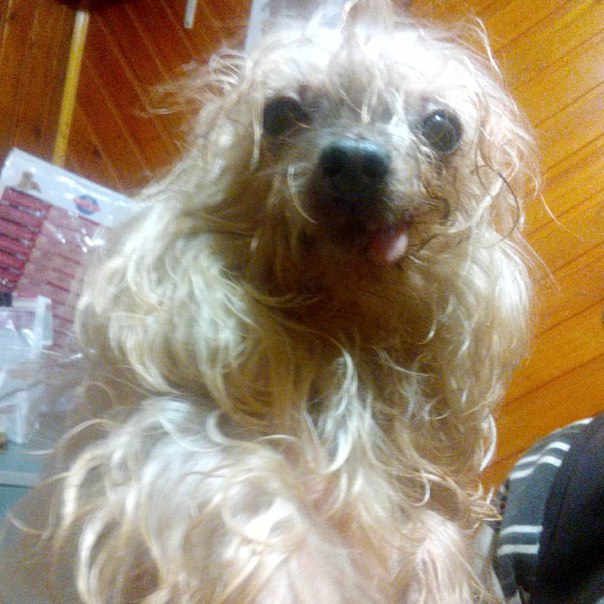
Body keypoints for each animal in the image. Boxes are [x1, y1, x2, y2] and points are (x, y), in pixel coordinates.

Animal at [1, 1, 538, 602]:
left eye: (442, 127)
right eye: (280, 113)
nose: (355, 162)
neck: (342, 331)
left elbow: (435, 537)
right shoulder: (177, 459)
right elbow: (258, 511)